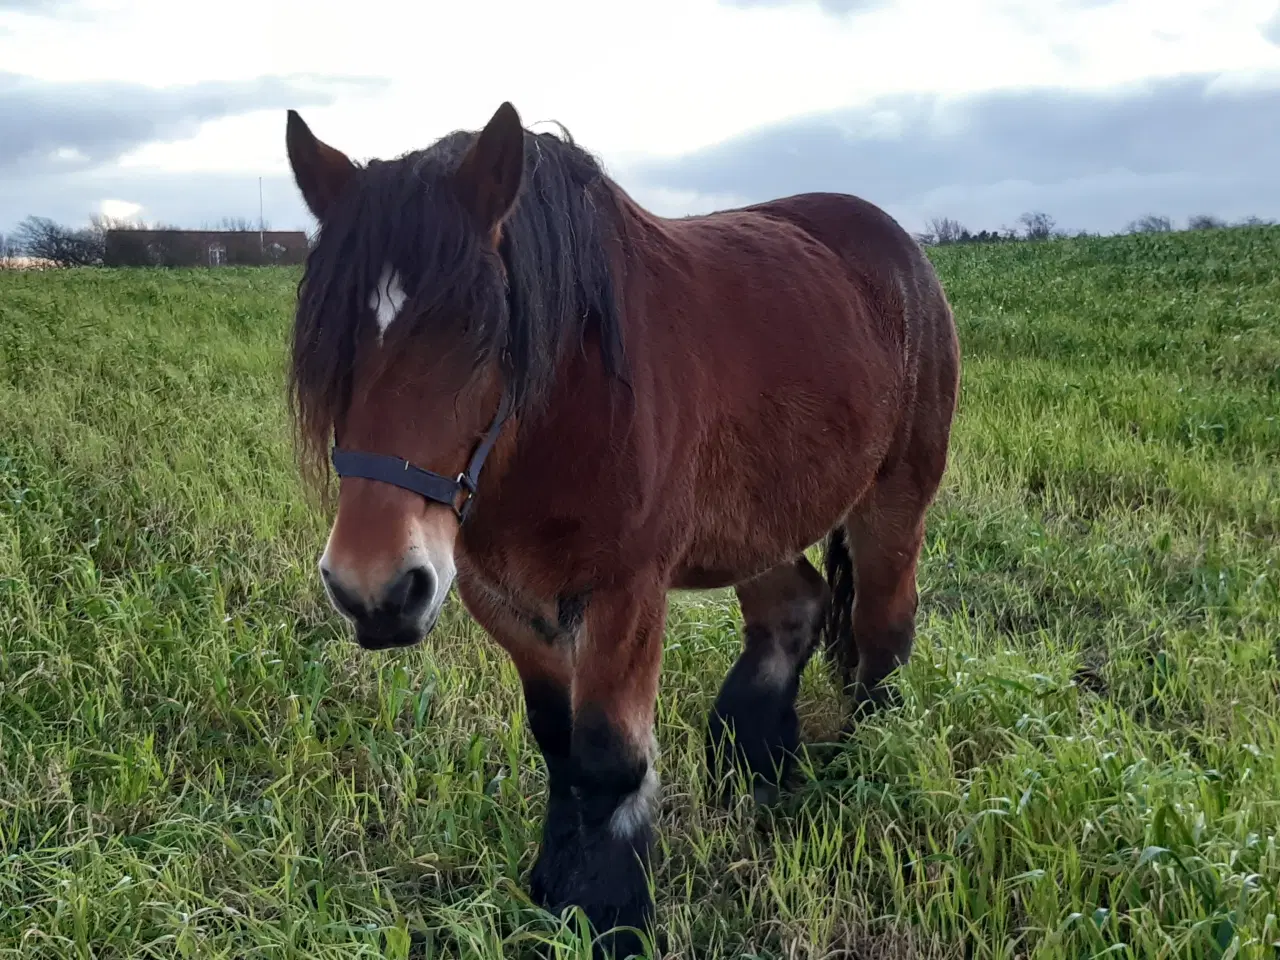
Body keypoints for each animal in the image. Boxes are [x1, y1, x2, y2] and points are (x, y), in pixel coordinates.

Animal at [282, 101, 962, 957]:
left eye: (478, 331)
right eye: (330, 342)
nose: (373, 592)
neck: (564, 412)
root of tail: (901, 248)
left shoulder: (626, 593)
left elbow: (607, 758)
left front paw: (612, 916)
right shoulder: (500, 596)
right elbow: (558, 743)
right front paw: (552, 887)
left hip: (892, 504)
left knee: (882, 631)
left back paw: (860, 769)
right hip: (757, 521)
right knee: (794, 610)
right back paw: (758, 767)